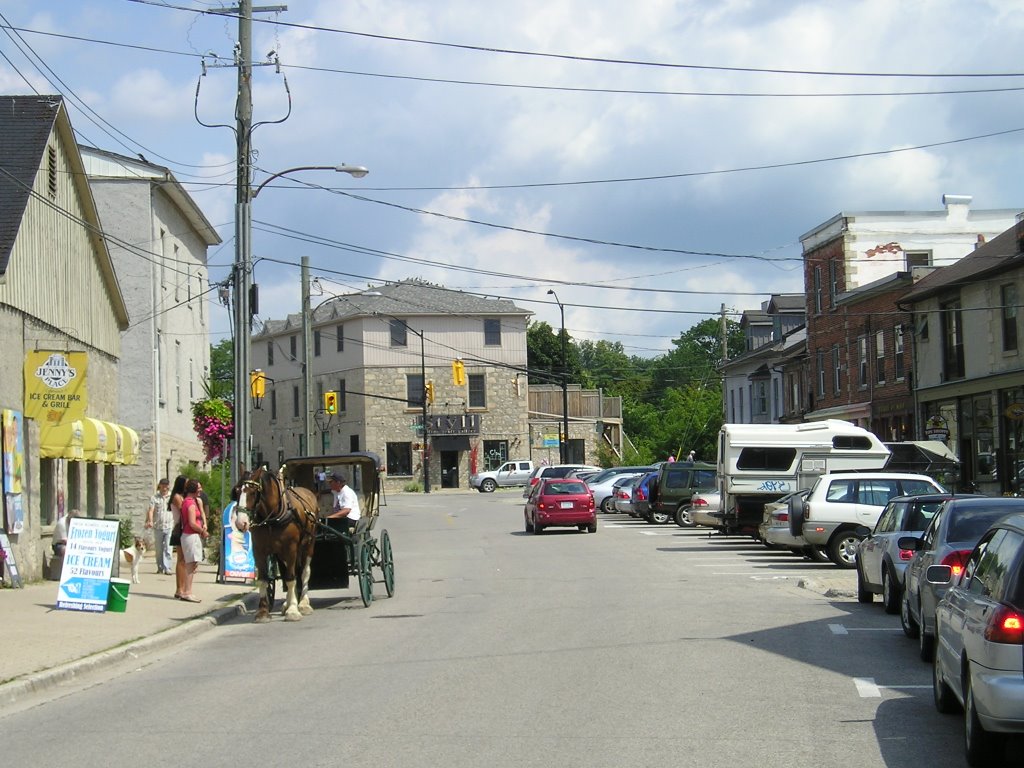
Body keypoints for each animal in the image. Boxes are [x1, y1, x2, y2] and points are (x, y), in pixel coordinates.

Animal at [234, 466, 317, 622]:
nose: (241, 523)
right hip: (282, 554)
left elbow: (291, 579)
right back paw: (287, 603)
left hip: (307, 545)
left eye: (253, 492)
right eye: (236, 491)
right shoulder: (259, 550)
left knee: (304, 573)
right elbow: (264, 579)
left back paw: (303, 603)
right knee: (290, 573)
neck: (272, 518)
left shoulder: (291, 548)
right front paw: (263, 612)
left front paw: (293, 610)